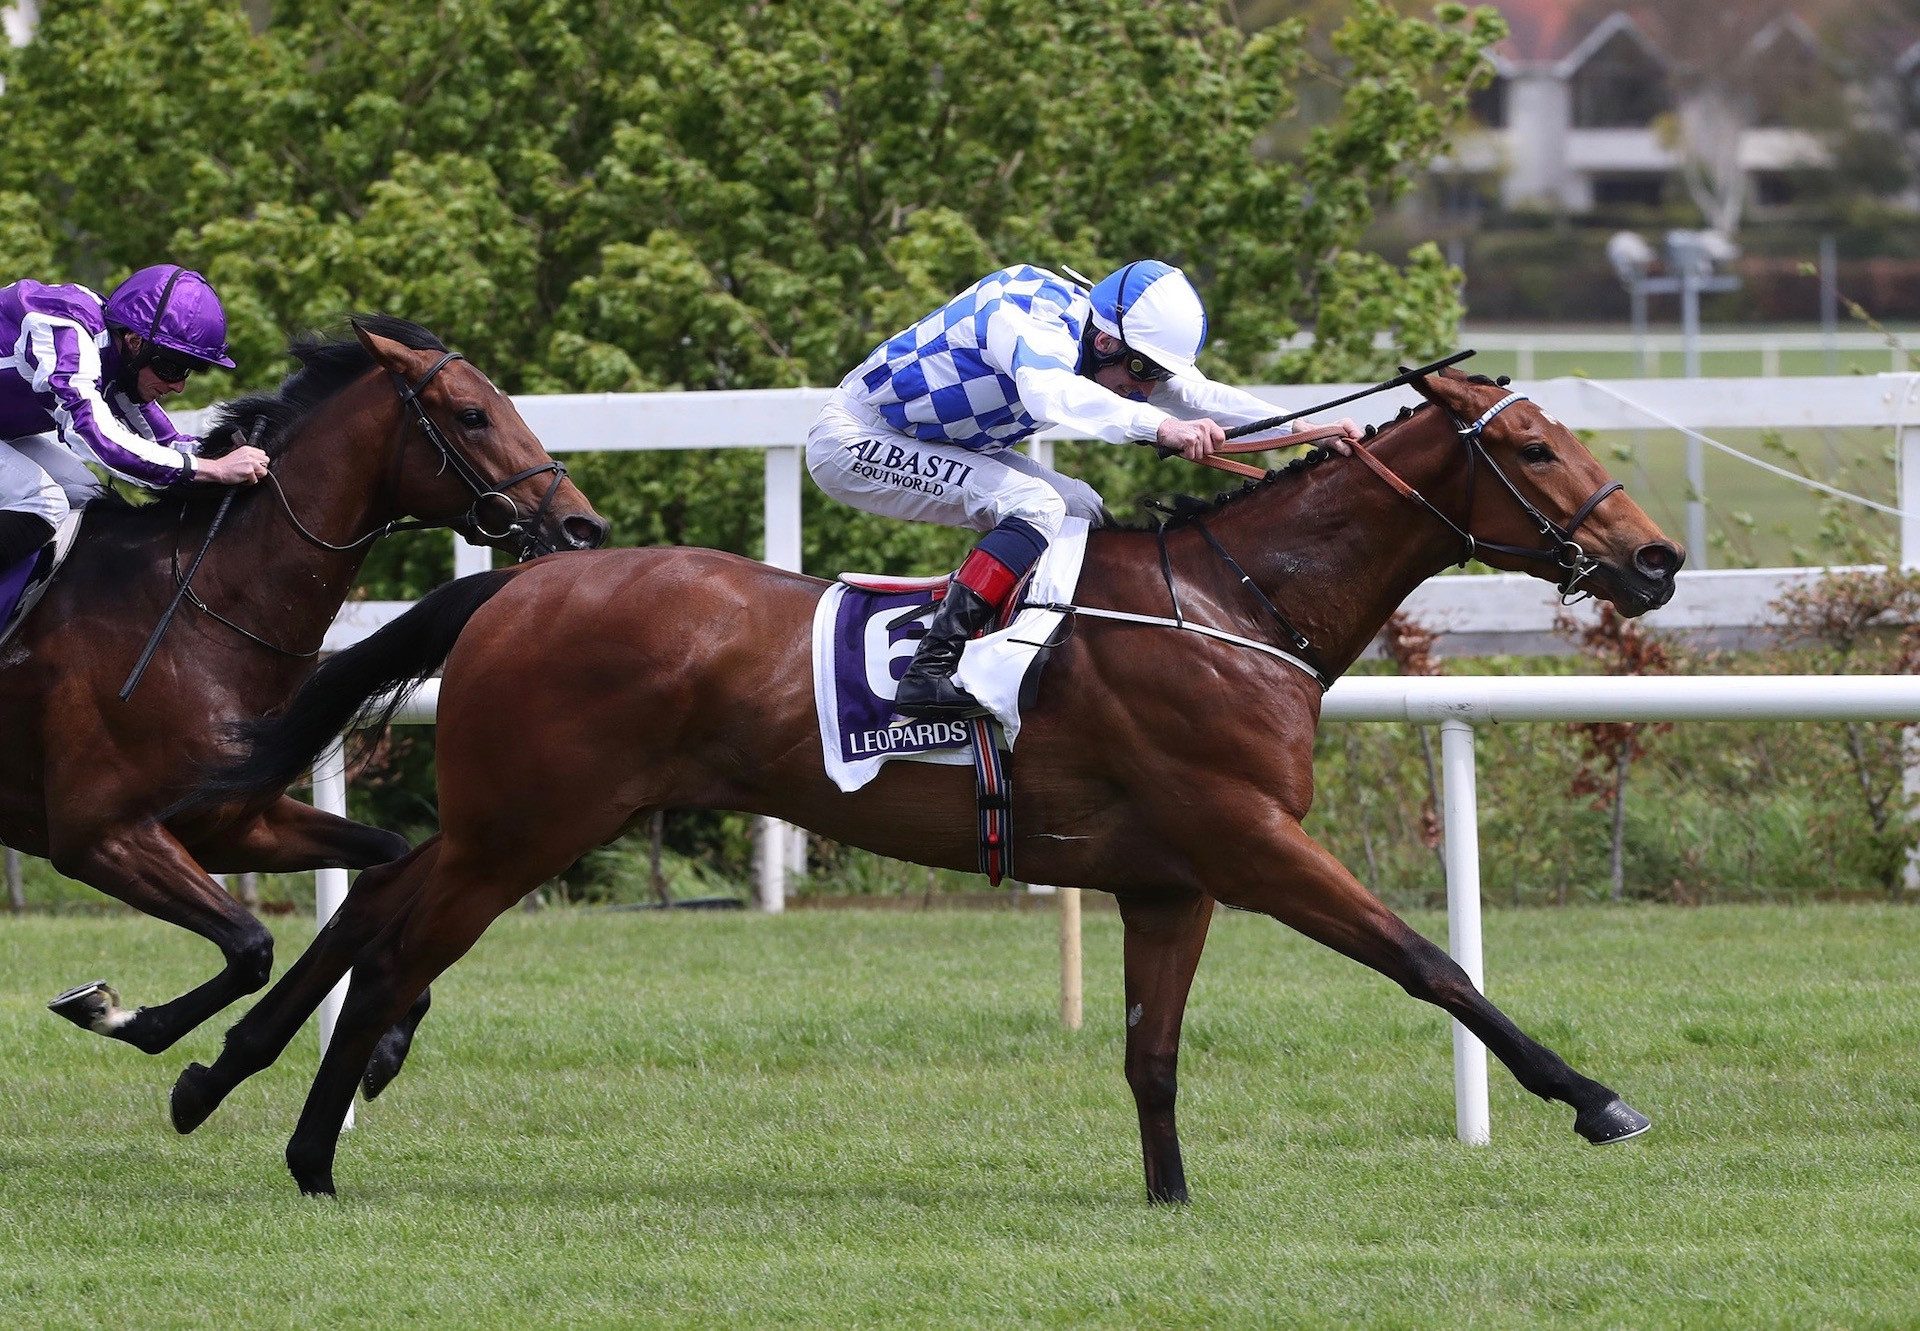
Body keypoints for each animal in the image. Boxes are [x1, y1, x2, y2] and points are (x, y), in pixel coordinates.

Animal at [0, 316, 606, 1075]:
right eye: (473, 415)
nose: (583, 528)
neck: (197, 609)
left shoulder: (233, 823)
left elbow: (381, 860)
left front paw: (388, 1037)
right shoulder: (100, 837)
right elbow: (252, 947)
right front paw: (116, 1012)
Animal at [176, 368, 1681, 1198]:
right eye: (1534, 450)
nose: (1656, 558)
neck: (1235, 605)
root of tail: (525, 580)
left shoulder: (1171, 875)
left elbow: (1150, 1051)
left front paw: (1171, 1197)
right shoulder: (1249, 839)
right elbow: (1430, 960)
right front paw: (1596, 1096)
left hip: (510, 818)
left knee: (379, 909)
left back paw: (215, 1075)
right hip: (526, 824)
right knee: (395, 947)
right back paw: (309, 1146)